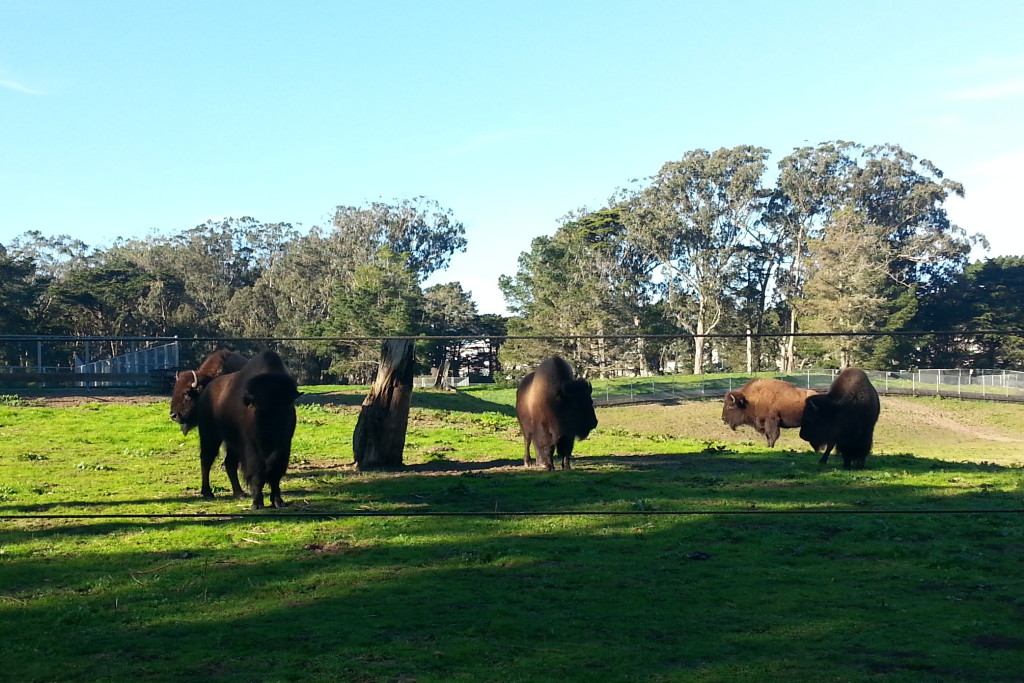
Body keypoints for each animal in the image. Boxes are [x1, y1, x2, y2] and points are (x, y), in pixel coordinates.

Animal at [193, 352, 299, 507]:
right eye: (254, 404)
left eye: (285, 404)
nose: (264, 433)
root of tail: (206, 392)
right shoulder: (252, 446)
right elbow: (257, 472)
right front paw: (257, 503)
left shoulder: (283, 445)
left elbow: (275, 472)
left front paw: (278, 501)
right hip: (210, 435)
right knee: (206, 460)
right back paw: (207, 493)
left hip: (232, 444)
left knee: (229, 464)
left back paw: (239, 494)